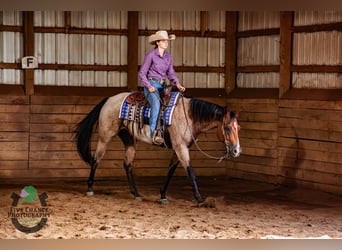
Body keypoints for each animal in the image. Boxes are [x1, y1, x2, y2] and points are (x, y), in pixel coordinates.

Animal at [75, 92, 240, 205]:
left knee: (127, 164)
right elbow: (190, 172)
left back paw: (136, 194)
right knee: (96, 160)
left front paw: (162, 195)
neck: (188, 116)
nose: (236, 151)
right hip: (105, 137)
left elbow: (170, 172)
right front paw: (200, 199)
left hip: (129, 140)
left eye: (238, 127)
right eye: (227, 127)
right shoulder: (181, 148)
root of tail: (108, 100)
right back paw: (90, 189)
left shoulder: (178, 149)